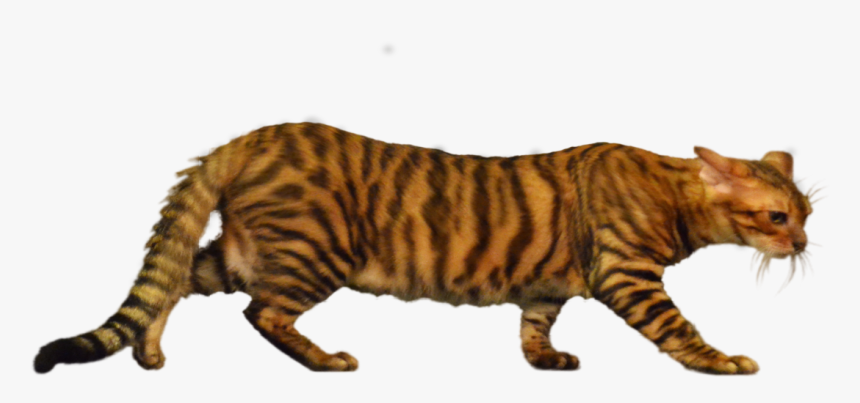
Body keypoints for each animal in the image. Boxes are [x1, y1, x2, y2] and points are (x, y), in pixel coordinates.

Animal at [34, 122, 813, 375]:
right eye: (776, 216)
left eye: (806, 213)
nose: (803, 243)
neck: (675, 193)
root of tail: (248, 137)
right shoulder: (630, 273)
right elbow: (680, 328)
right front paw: (722, 362)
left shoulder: (546, 286)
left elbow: (535, 327)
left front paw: (546, 361)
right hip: (313, 253)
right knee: (263, 314)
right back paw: (326, 361)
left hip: (239, 252)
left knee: (171, 281)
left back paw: (150, 351)